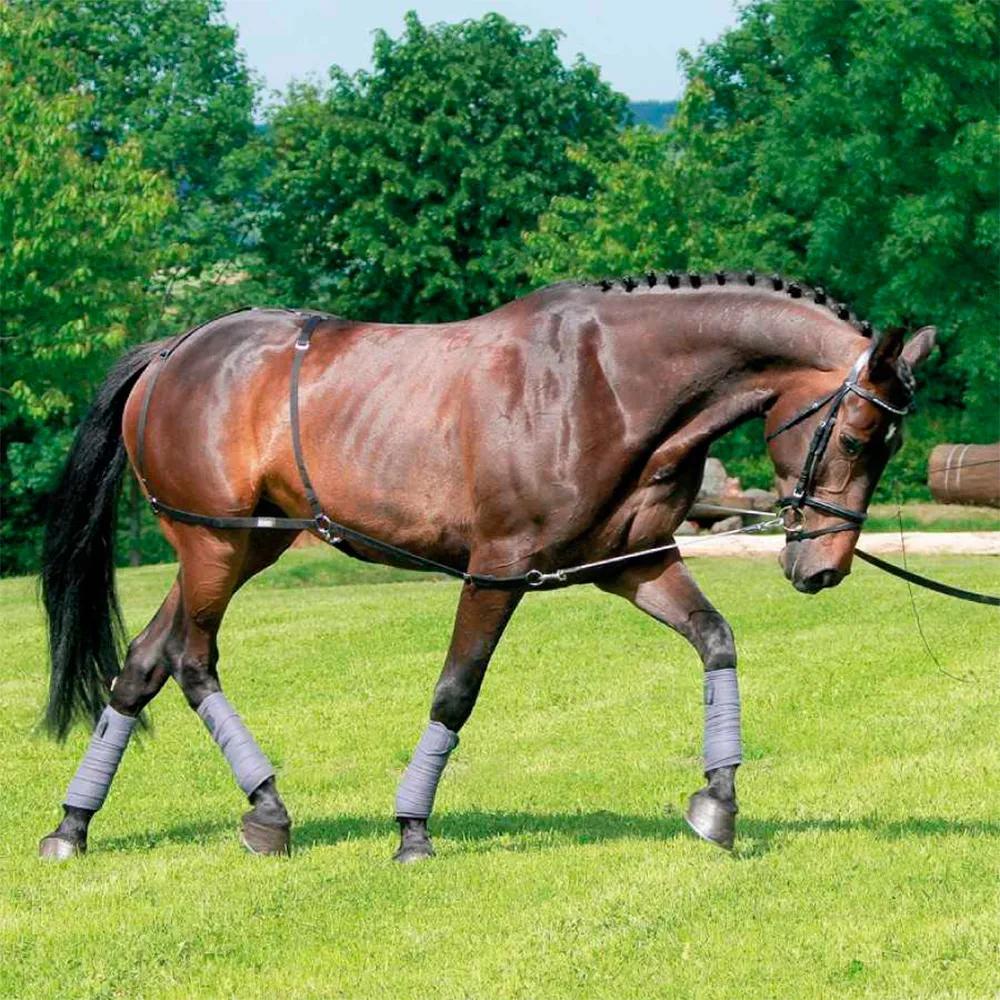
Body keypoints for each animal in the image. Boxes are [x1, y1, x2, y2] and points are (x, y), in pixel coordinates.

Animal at [37, 271, 935, 861]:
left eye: (888, 444)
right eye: (859, 437)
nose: (822, 569)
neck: (606, 384)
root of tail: (174, 351)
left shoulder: (636, 564)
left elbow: (716, 640)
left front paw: (718, 802)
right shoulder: (497, 570)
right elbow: (455, 693)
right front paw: (412, 829)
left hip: (239, 546)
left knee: (143, 665)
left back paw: (73, 825)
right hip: (215, 549)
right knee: (192, 659)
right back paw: (266, 810)